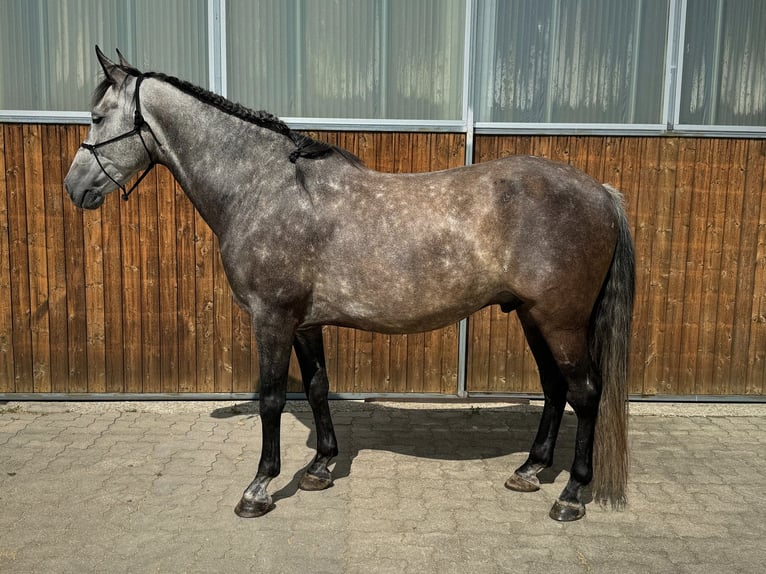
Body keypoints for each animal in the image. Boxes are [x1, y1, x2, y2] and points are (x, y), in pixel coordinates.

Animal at [63, 47, 636, 524]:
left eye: (97, 117)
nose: (73, 188)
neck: (263, 187)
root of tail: (601, 192)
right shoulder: (303, 322)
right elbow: (317, 386)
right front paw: (319, 467)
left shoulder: (271, 318)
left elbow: (272, 397)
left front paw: (259, 488)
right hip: (533, 316)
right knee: (555, 388)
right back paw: (530, 471)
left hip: (560, 320)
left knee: (585, 393)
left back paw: (571, 496)